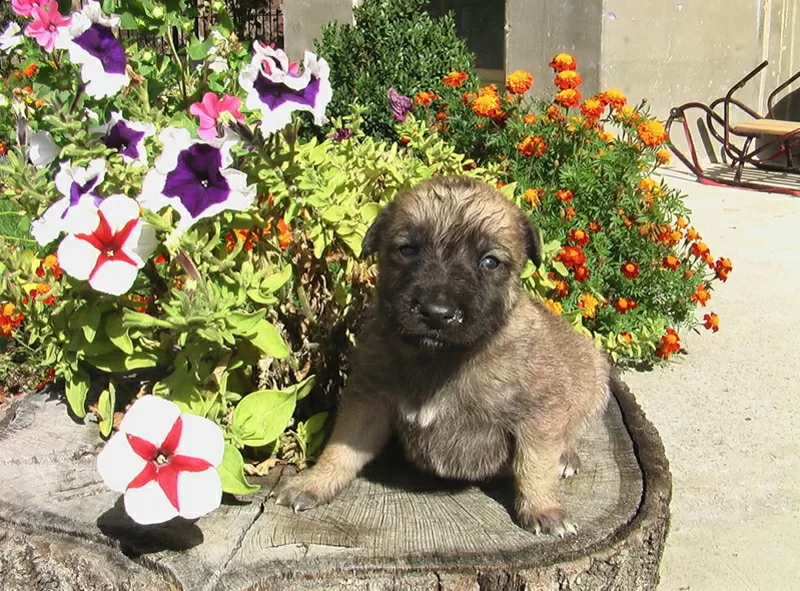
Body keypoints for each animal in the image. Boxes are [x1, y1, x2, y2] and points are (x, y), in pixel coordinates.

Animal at [272, 175, 608, 536]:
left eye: (490, 262)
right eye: (407, 250)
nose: (436, 313)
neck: (438, 359)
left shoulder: (540, 412)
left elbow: (535, 464)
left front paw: (543, 508)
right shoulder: (368, 400)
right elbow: (340, 449)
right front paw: (315, 483)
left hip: (595, 375)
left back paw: (567, 457)